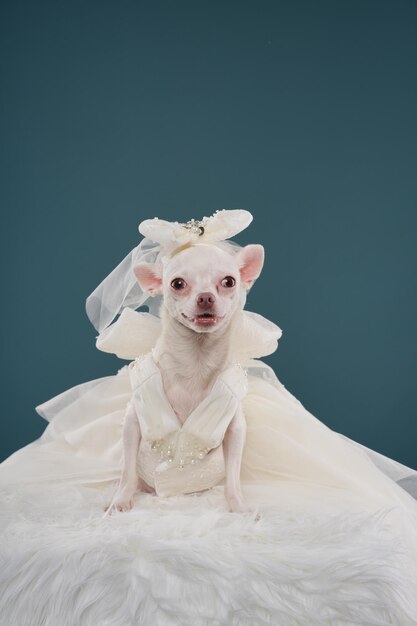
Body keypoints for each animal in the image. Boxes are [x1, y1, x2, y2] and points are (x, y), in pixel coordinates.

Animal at [105, 239, 264, 512]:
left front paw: (238, 506)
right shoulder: (132, 423)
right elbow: (127, 473)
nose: (205, 297)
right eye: (177, 283)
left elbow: (233, 477)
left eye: (229, 281)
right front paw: (120, 501)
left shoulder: (235, 430)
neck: (195, 361)